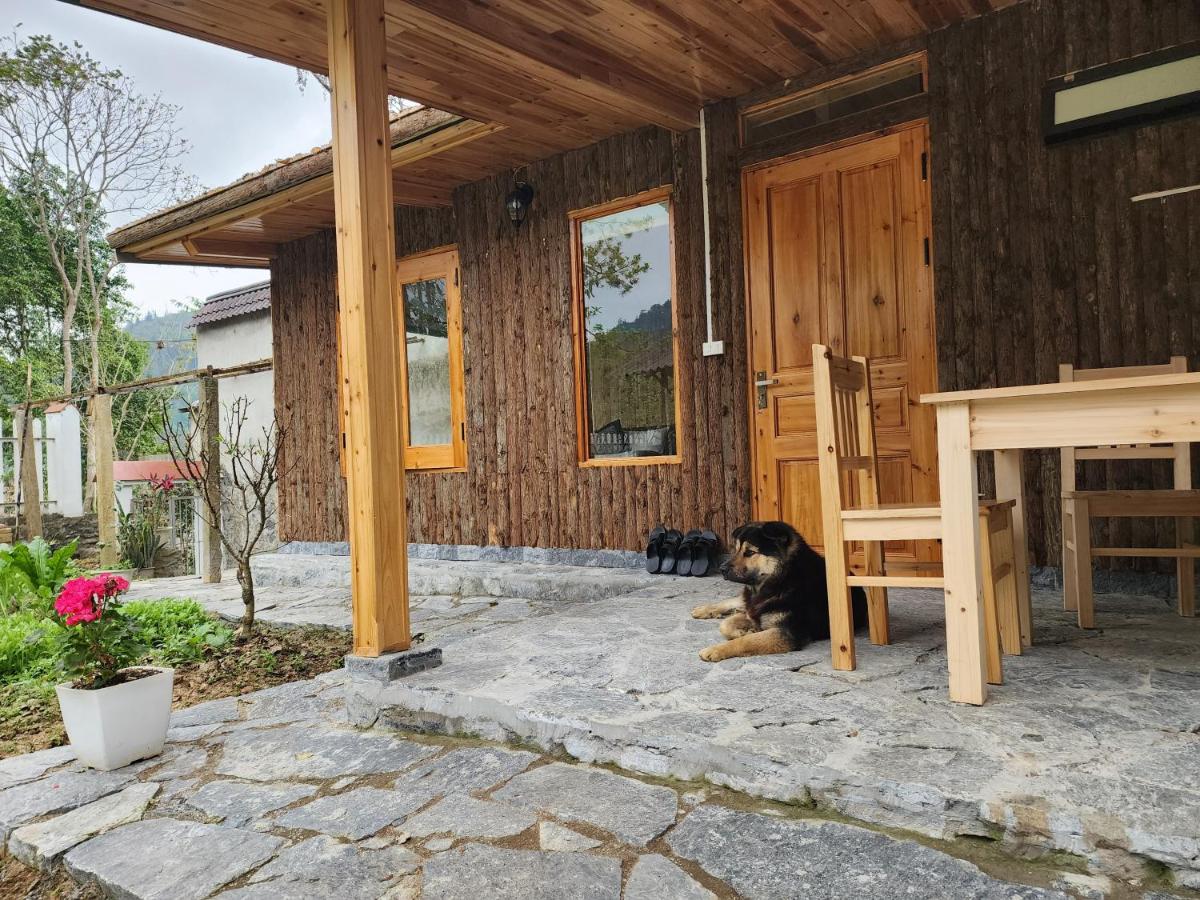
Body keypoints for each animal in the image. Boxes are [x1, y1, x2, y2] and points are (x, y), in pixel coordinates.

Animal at [691, 520, 868, 662]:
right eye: (736, 550)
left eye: (750, 552)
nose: (721, 569)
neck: (783, 578)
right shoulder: (755, 611)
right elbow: (726, 625)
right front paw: (744, 631)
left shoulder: (787, 632)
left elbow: (745, 640)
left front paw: (717, 649)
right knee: (736, 601)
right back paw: (704, 609)